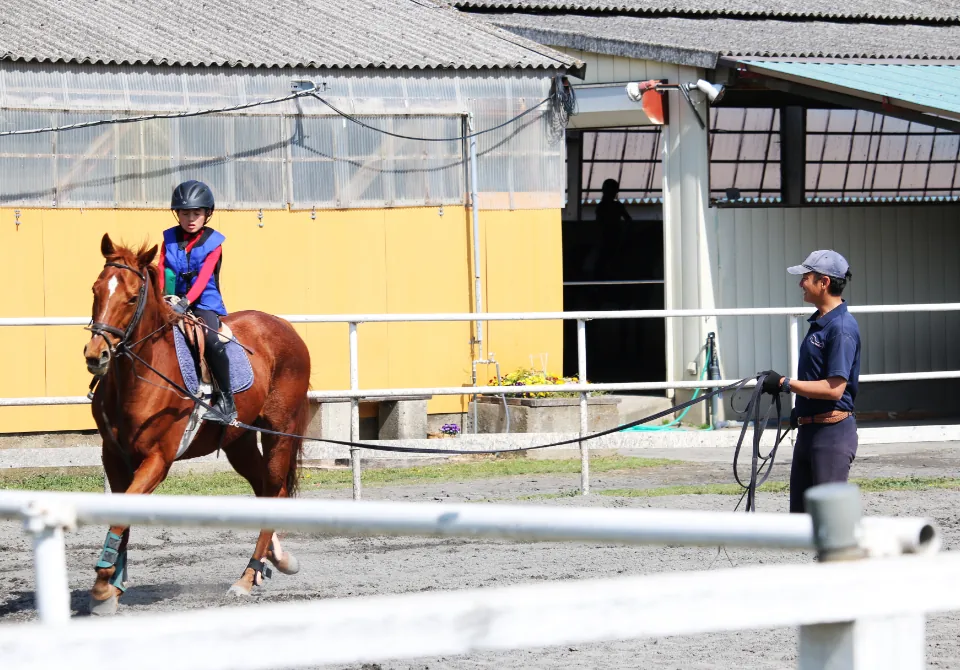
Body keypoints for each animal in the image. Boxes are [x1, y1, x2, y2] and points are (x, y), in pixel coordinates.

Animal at [82, 234, 310, 616]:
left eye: (132, 296)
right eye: (96, 289)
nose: (95, 354)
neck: (138, 378)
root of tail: (285, 327)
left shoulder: (157, 460)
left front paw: (102, 589)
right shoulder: (113, 457)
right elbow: (121, 515)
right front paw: (112, 587)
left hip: (279, 434)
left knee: (275, 488)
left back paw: (247, 578)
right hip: (239, 442)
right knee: (266, 490)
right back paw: (276, 560)